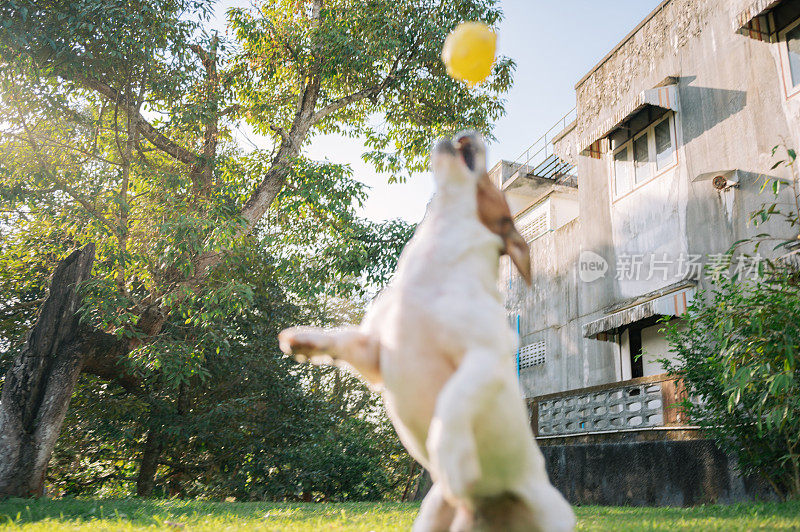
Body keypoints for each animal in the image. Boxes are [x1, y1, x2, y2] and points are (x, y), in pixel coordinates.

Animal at [282, 133, 576, 532]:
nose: (470, 131)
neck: (432, 270)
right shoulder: (374, 353)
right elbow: (343, 339)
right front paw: (305, 341)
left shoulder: (485, 357)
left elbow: (452, 400)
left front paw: (449, 451)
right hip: (433, 513)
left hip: (551, 511)